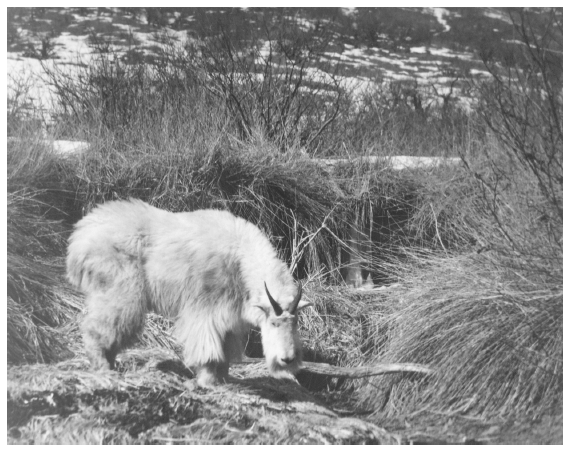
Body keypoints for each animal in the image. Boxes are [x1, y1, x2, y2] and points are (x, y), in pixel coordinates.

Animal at [65, 200, 310, 386]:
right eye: (273, 323)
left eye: (295, 322)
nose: (288, 359)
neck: (240, 259)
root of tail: (80, 236)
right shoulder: (206, 309)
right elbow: (207, 348)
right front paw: (207, 380)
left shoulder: (230, 320)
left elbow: (225, 351)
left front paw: (222, 378)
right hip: (120, 290)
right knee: (102, 327)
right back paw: (102, 367)